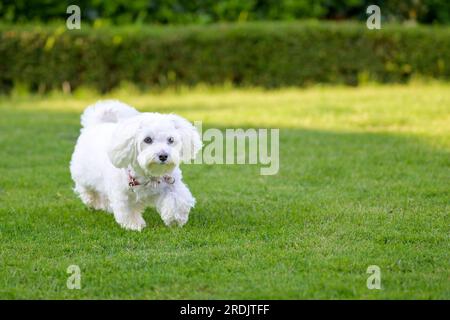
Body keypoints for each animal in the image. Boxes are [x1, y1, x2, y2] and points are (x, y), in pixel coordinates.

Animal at [69, 100, 201, 230]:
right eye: (147, 139)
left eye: (171, 140)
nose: (163, 156)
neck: (149, 176)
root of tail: (95, 125)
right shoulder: (124, 193)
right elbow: (128, 211)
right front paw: (134, 225)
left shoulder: (171, 184)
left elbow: (177, 200)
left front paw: (175, 219)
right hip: (83, 175)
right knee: (87, 189)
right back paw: (93, 201)